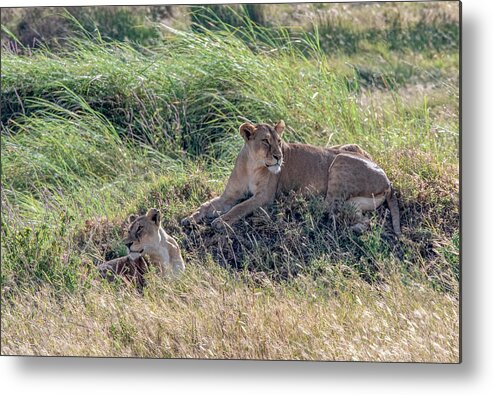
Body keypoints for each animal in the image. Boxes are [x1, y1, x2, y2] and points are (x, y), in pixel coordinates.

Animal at [182, 120, 400, 237]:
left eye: (279, 141)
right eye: (265, 141)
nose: (279, 156)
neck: (252, 165)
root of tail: (388, 182)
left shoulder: (264, 197)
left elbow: (240, 207)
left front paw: (220, 221)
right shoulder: (229, 195)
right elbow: (207, 205)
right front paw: (190, 218)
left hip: (340, 159)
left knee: (326, 206)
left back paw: (293, 204)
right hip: (352, 187)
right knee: (361, 218)